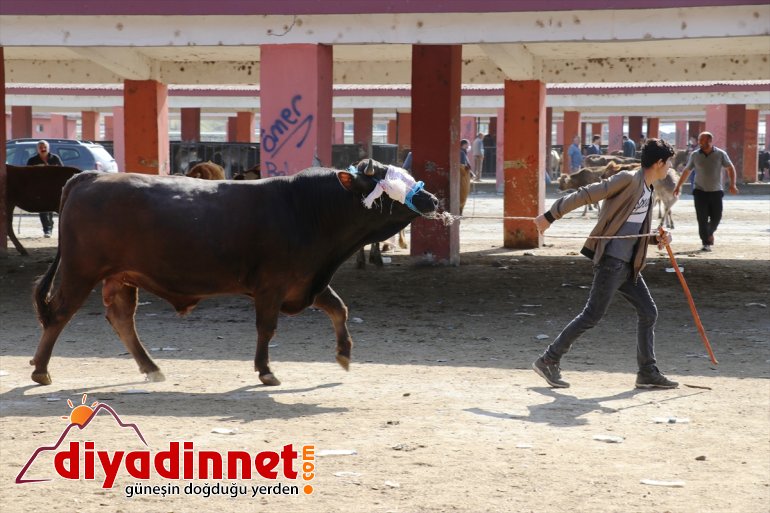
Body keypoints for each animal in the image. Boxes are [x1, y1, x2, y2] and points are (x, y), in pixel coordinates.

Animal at [30, 158, 438, 386]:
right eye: (389, 183)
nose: (432, 198)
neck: (308, 209)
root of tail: (88, 178)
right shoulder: (272, 286)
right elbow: (267, 328)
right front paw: (265, 370)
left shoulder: (307, 281)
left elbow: (339, 308)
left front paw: (344, 353)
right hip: (80, 271)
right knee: (59, 314)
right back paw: (41, 370)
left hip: (121, 277)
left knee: (121, 320)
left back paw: (151, 367)